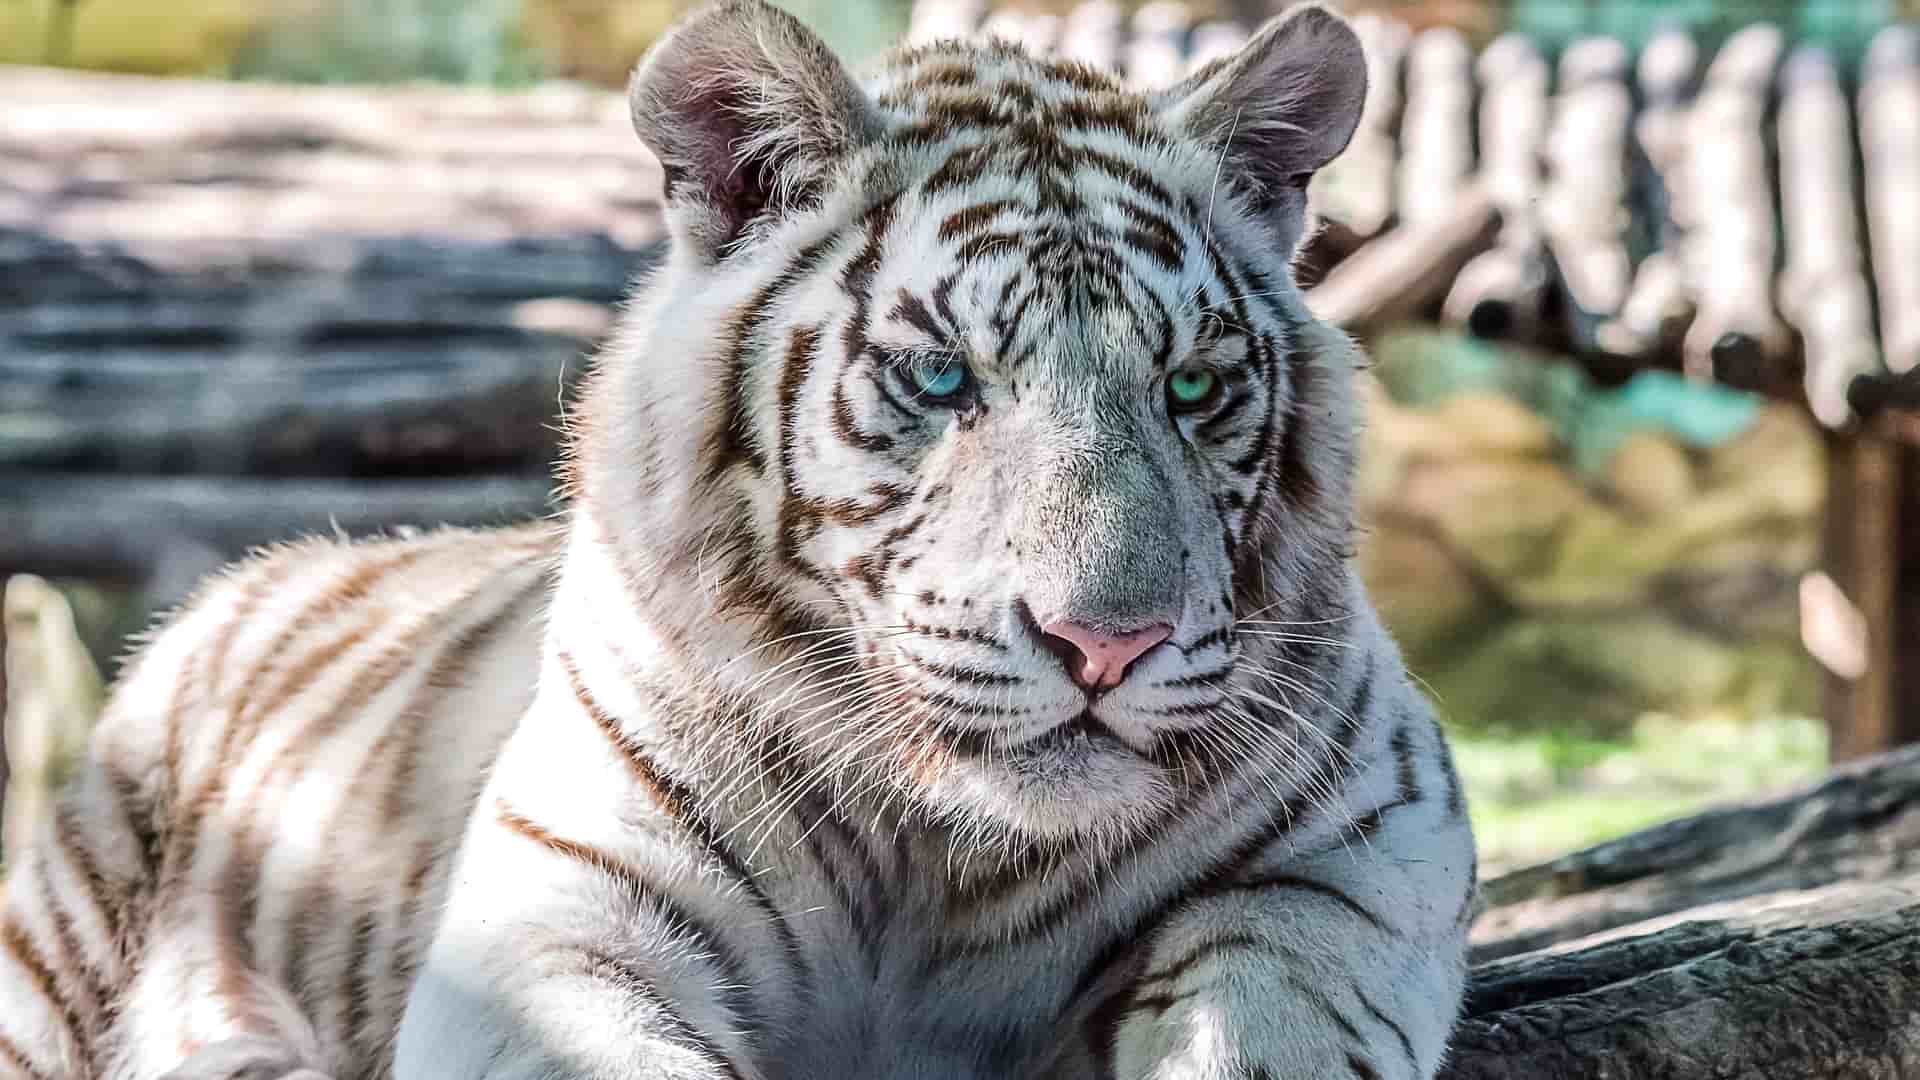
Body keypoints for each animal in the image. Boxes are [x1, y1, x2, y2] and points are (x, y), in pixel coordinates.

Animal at [0, 2, 1477, 1078]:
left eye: (1192, 387)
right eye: (941, 377)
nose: (1105, 646)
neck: (939, 863)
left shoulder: (1358, 847)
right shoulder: (557, 926)